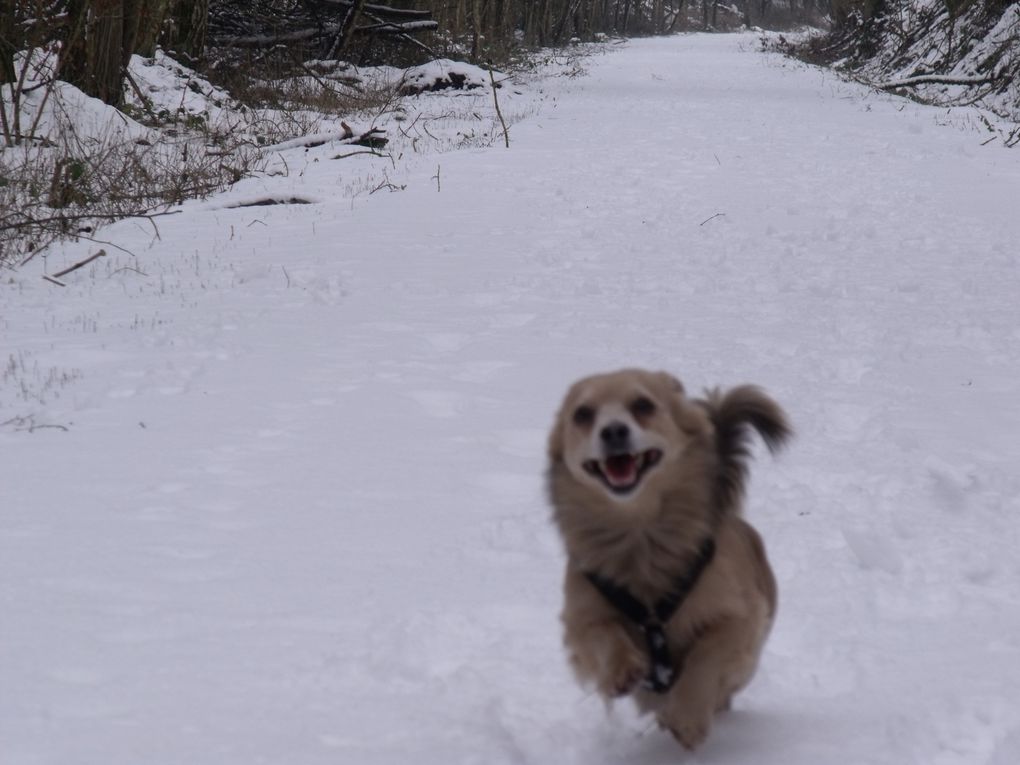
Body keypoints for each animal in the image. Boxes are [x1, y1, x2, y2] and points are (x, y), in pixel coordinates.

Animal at [546, 369, 791, 750]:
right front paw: (622, 668)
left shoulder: (740, 618)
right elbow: (602, 634)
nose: (613, 431)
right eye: (582, 414)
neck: (640, 534)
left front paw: (688, 719)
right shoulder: (581, 615)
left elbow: (706, 657)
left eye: (643, 405)